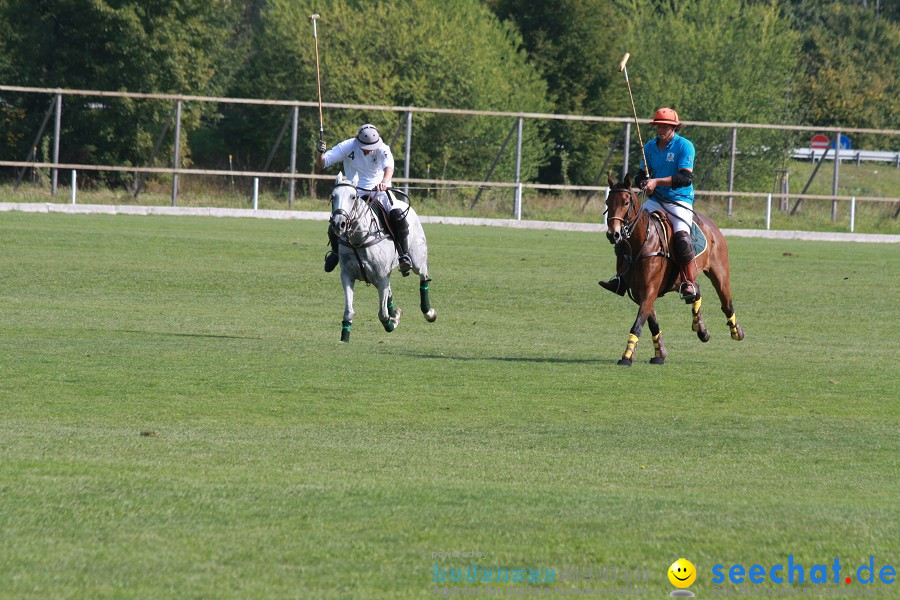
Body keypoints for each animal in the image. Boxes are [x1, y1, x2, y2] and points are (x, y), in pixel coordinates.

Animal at [328, 172, 438, 342]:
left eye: (353, 196)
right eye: (333, 196)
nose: (338, 223)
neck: (359, 241)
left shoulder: (381, 277)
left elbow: (382, 314)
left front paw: (392, 323)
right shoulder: (347, 276)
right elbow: (349, 311)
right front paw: (344, 337)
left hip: (417, 259)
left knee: (423, 275)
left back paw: (429, 312)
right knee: (390, 293)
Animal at [604, 175, 744, 366]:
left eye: (626, 202)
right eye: (607, 202)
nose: (613, 234)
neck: (641, 243)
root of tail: (712, 224)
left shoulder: (649, 290)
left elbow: (638, 323)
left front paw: (626, 356)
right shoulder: (639, 292)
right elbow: (652, 322)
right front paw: (660, 353)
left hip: (719, 272)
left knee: (726, 302)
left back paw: (736, 332)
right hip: (679, 280)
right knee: (696, 288)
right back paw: (701, 329)